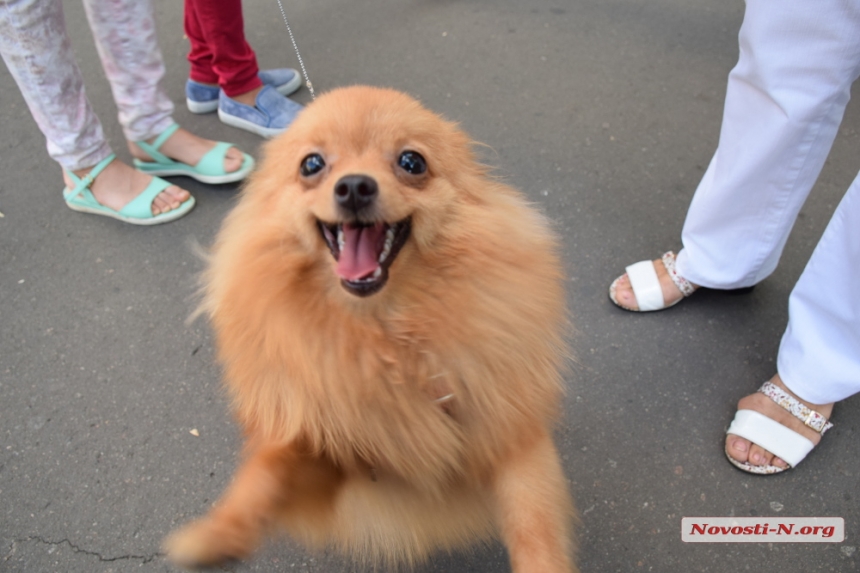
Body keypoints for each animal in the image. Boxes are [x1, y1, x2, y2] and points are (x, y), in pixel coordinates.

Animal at [164, 86, 576, 572]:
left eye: (412, 162)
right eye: (312, 165)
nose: (355, 186)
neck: (383, 331)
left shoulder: (510, 434)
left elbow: (535, 524)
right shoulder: (330, 444)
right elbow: (267, 469)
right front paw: (217, 533)